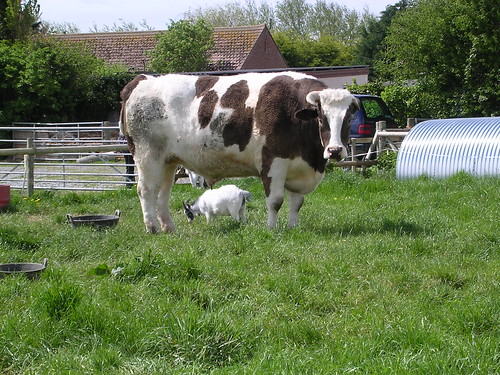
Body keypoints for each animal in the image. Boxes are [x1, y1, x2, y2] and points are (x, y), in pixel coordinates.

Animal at [119, 72, 358, 234]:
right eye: (322, 117)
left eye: (349, 119)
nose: (335, 150)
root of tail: (142, 80)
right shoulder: (273, 162)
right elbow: (275, 201)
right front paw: (272, 229)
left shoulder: (298, 167)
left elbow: (296, 203)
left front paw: (293, 227)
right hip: (147, 156)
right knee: (146, 190)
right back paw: (152, 228)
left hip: (168, 160)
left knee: (163, 193)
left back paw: (168, 227)